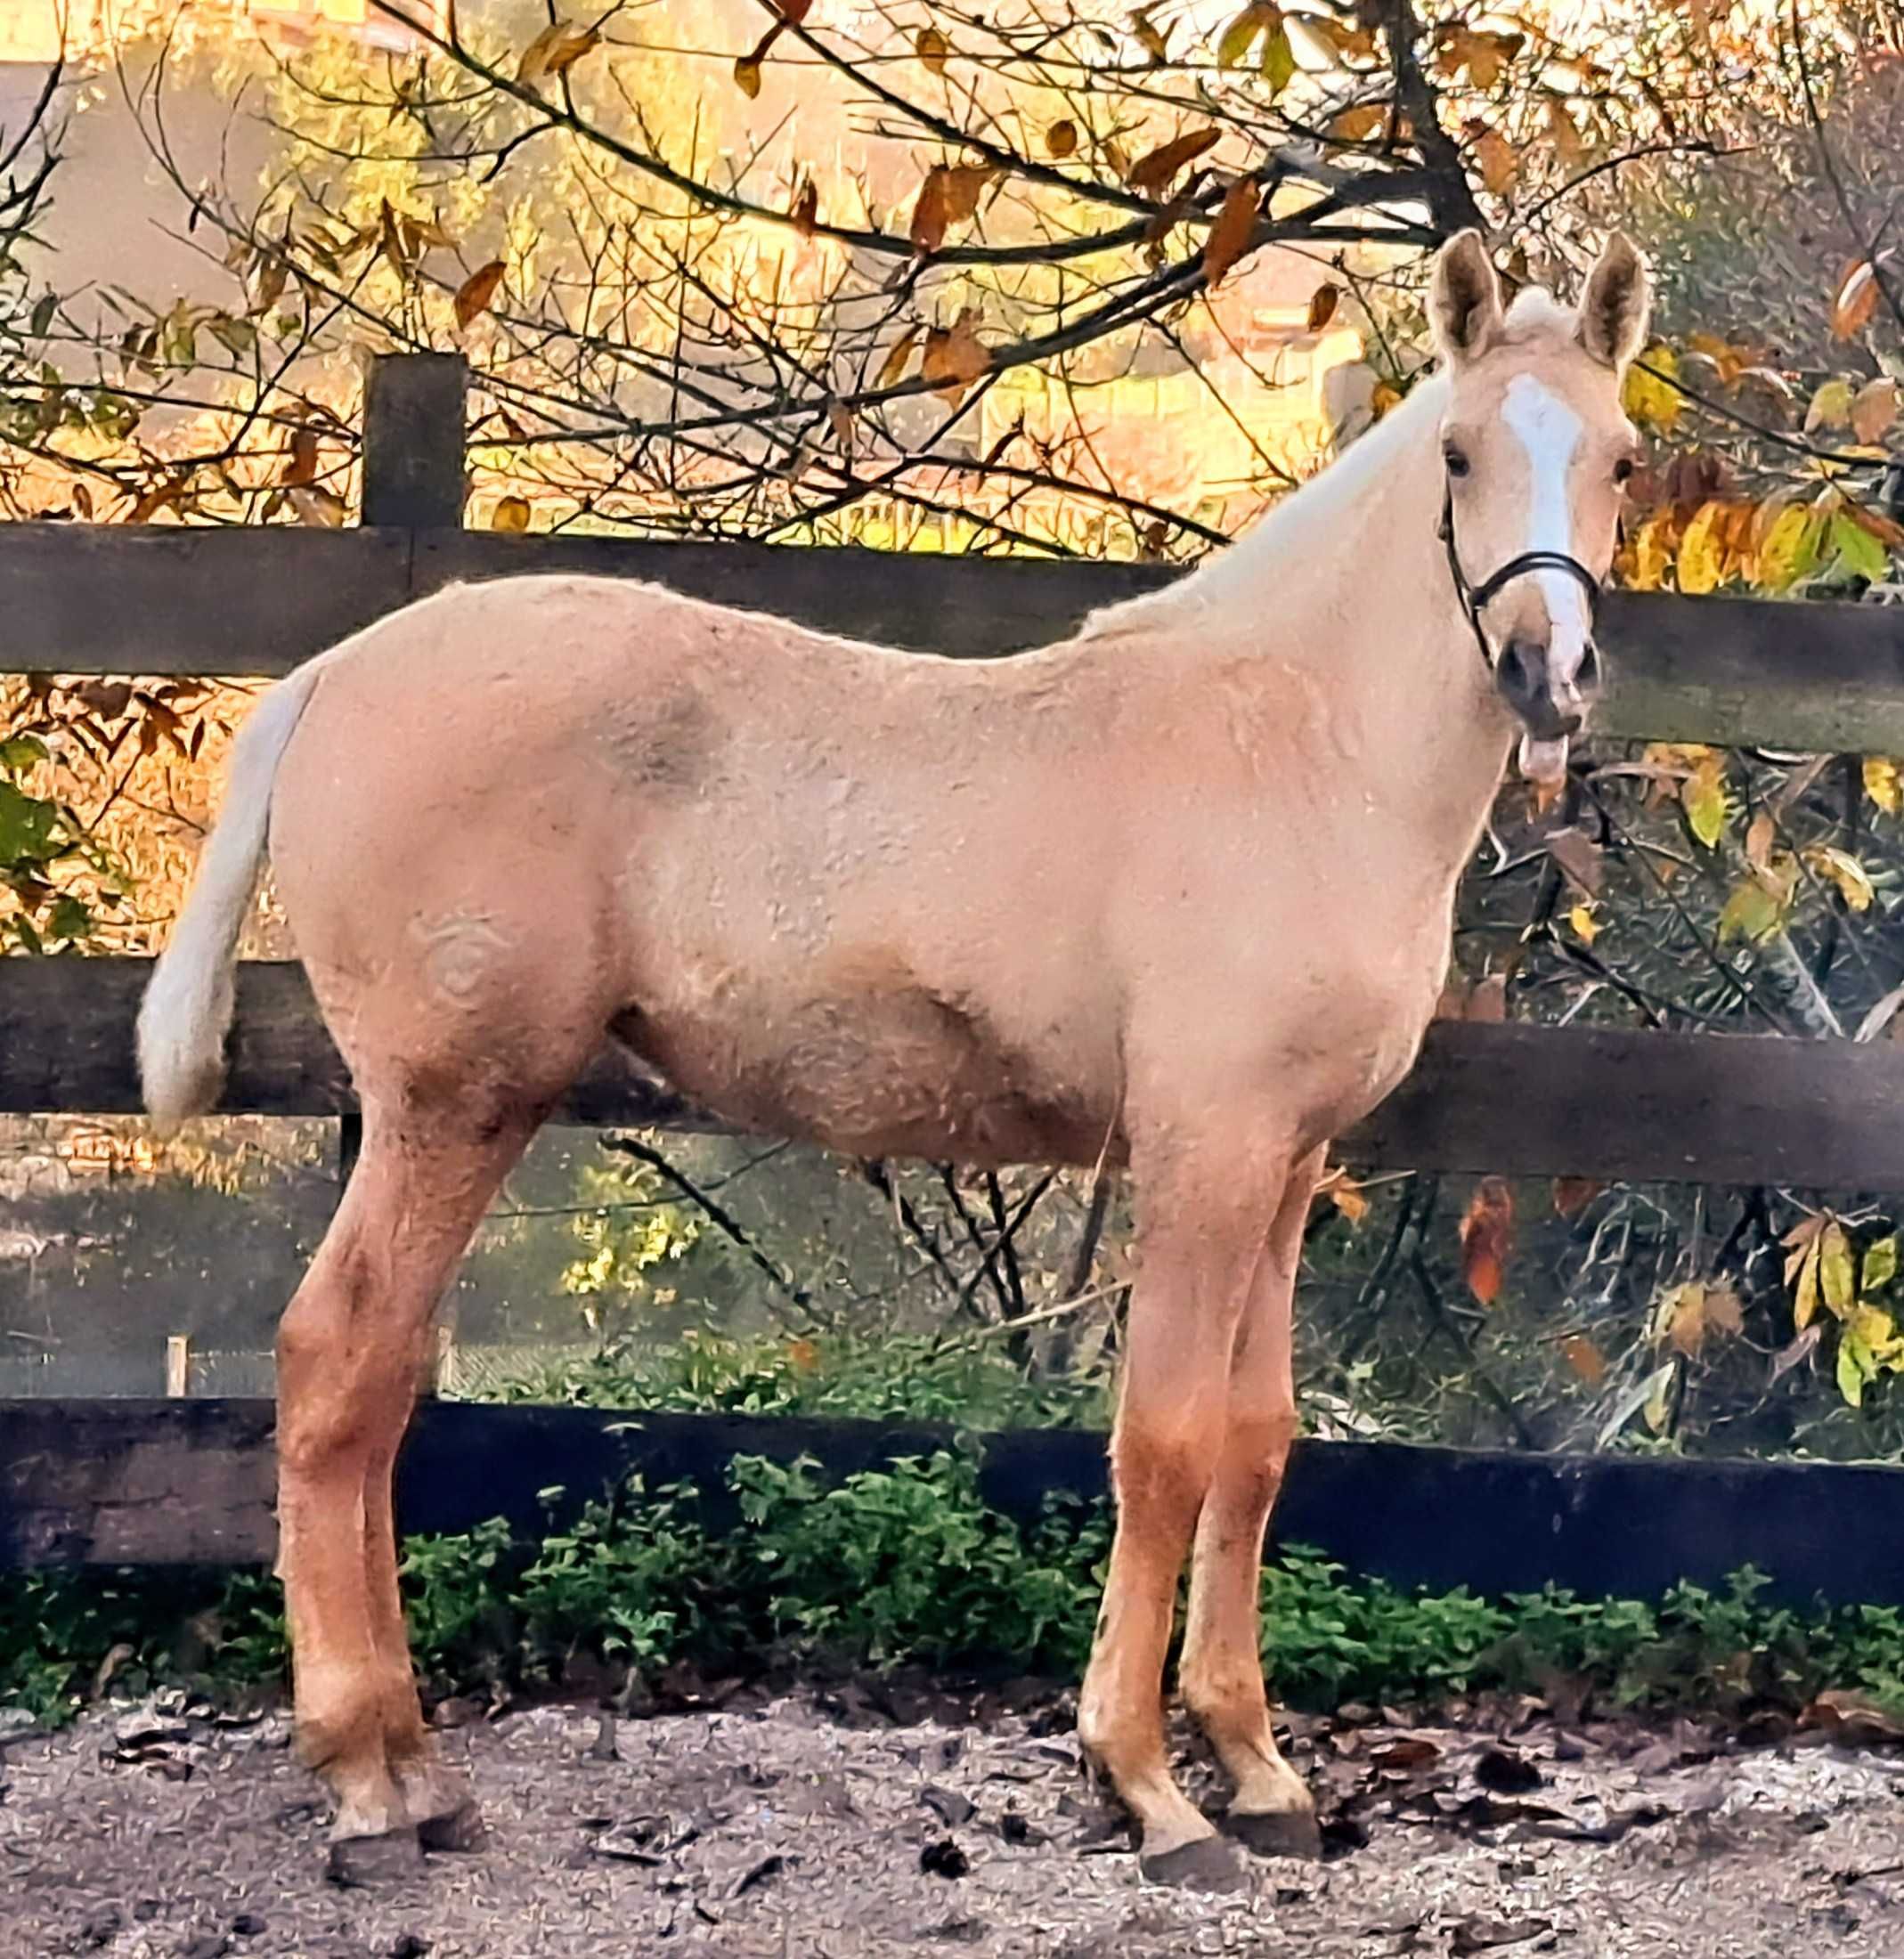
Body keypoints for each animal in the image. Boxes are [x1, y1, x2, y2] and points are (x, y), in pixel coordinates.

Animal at [141, 229, 1645, 1881]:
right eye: (1457, 454)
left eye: (1621, 461)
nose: (1547, 674)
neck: (1296, 746)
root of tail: (331, 675)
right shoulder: (1203, 1147)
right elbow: (1166, 1440)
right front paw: (1145, 1787)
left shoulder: (1287, 1156)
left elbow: (1254, 1444)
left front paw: (1256, 1773)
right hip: (449, 1104)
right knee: (338, 1362)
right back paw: (363, 1779)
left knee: (385, 1373)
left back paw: (417, 1769)